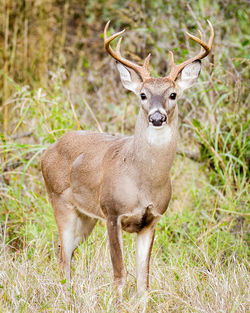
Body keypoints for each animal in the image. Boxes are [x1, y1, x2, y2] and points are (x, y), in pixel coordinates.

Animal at [42, 19, 214, 298]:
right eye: (143, 94)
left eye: (173, 94)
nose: (157, 117)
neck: (142, 181)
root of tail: (48, 150)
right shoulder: (112, 212)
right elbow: (119, 274)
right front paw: (116, 301)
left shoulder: (152, 219)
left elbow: (144, 280)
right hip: (59, 201)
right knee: (63, 258)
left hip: (87, 217)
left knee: (64, 253)